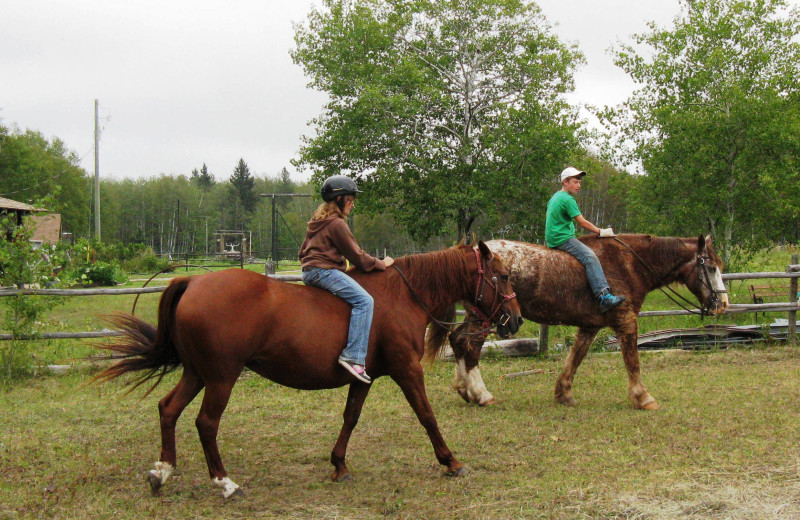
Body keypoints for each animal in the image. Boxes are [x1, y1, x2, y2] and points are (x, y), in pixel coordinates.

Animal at [95, 242, 520, 498]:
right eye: (501, 276)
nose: (514, 320)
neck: (404, 295)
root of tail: (194, 282)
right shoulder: (406, 371)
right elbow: (426, 416)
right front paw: (451, 461)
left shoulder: (364, 377)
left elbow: (351, 418)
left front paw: (339, 464)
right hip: (220, 378)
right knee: (206, 423)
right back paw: (224, 481)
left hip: (198, 373)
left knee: (168, 409)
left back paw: (162, 471)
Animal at [446, 236, 728, 410]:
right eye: (711, 268)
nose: (723, 303)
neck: (629, 264)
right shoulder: (627, 322)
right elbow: (633, 362)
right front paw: (642, 397)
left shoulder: (590, 326)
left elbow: (575, 358)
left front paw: (563, 393)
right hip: (487, 317)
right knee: (470, 348)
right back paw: (481, 394)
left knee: (457, 340)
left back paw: (464, 389)